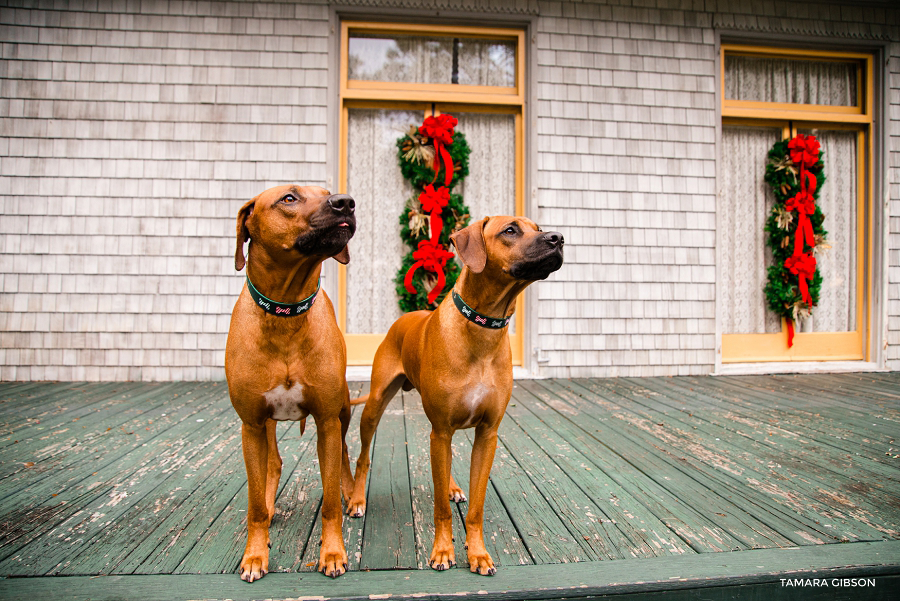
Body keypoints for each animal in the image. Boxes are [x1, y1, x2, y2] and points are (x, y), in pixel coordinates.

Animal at [225, 184, 358, 580]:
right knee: (274, 463)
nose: (346, 202)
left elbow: (329, 501)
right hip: (265, 425)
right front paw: (255, 554)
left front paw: (333, 552)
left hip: (343, 411)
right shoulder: (251, 424)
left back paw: (351, 494)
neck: (285, 313)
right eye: (289, 198)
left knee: (344, 452)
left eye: (327, 192)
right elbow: (254, 503)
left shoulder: (327, 420)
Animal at [346, 217, 564, 576]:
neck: (484, 328)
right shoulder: (443, 428)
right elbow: (439, 510)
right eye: (510, 230)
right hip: (376, 404)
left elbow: (476, 506)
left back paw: (451, 486)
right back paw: (356, 500)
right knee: (365, 456)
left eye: (538, 227)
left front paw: (477, 553)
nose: (558, 238)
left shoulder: (487, 434)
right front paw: (442, 551)